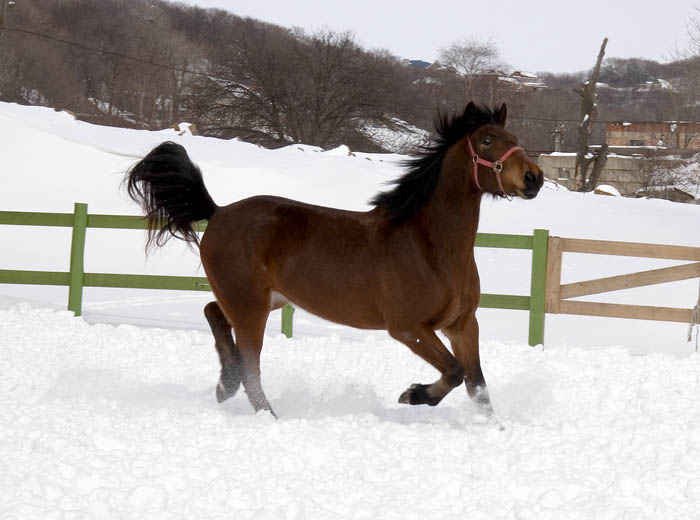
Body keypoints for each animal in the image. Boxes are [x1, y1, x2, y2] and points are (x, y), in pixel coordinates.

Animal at [124, 101, 540, 418]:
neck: (431, 248)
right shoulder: (408, 328)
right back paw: (266, 414)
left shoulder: (462, 325)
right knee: (250, 365)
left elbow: (478, 386)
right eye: (487, 140)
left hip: (264, 300)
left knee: (214, 314)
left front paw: (492, 429)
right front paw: (413, 395)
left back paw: (225, 386)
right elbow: (455, 372)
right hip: (250, 306)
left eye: (516, 140)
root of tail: (219, 211)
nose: (533, 178)